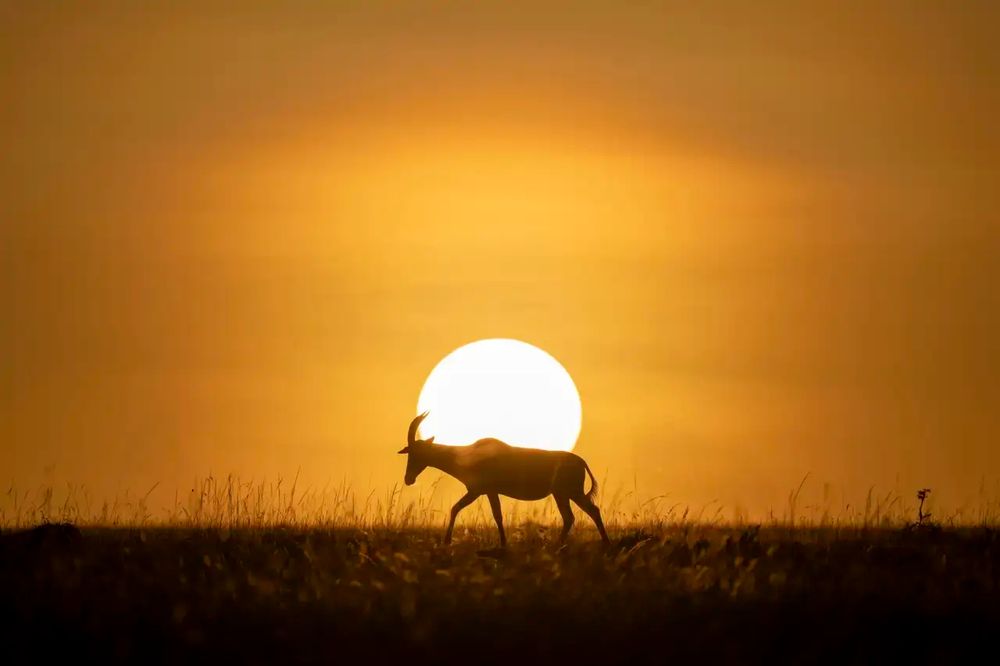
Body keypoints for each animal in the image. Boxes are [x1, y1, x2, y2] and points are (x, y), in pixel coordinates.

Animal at [398, 412, 611, 547]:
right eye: (410, 452)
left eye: (417, 453)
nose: (408, 479)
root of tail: (580, 461)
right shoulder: (484, 492)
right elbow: (485, 513)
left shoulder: (480, 491)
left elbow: (480, 512)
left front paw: (448, 541)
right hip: (564, 494)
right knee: (578, 515)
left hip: (567, 493)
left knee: (583, 513)